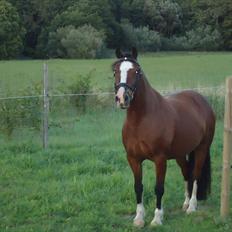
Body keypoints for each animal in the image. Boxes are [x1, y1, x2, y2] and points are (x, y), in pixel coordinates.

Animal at [112, 48, 216, 227]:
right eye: (115, 71)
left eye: (137, 71)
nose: (122, 98)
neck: (141, 120)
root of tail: (202, 101)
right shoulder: (133, 159)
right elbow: (138, 187)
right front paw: (139, 219)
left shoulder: (160, 159)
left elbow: (159, 188)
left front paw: (157, 218)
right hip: (180, 154)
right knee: (186, 173)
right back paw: (185, 203)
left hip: (202, 149)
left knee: (195, 175)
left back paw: (192, 207)